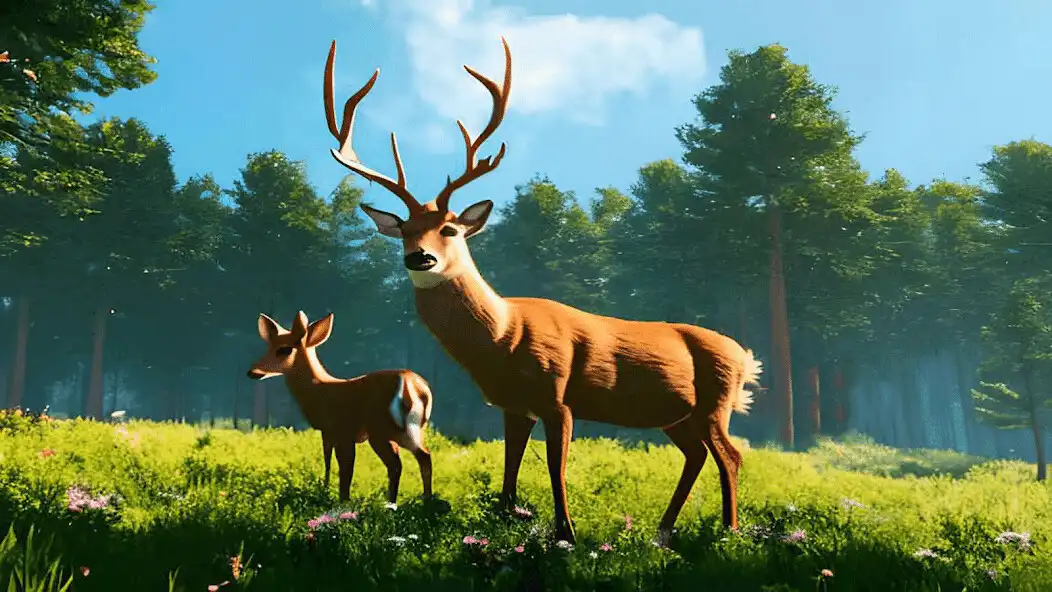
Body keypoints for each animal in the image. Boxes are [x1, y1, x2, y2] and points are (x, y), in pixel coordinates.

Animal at [246, 311, 439, 507]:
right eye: (269, 347)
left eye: (284, 349)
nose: (252, 372)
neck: (320, 390)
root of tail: (411, 387)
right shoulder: (328, 432)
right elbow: (328, 462)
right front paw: (326, 492)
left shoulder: (342, 431)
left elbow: (344, 469)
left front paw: (341, 501)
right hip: (411, 430)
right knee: (424, 456)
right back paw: (426, 501)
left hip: (381, 430)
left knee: (396, 464)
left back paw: (391, 504)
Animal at [322, 38, 763, 546]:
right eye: (406, 232)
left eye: (449, 229)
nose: (421, 258)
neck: (503, 338)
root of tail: (745, 356)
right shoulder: (514, 407)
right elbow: (510, 470)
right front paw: (506, 521)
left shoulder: (558, 396)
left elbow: (556, 469)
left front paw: (566, 535)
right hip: (677, 415)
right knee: (697, 455)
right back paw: (663, 531)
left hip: (715, 403)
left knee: (730, 455)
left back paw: (729, 531)